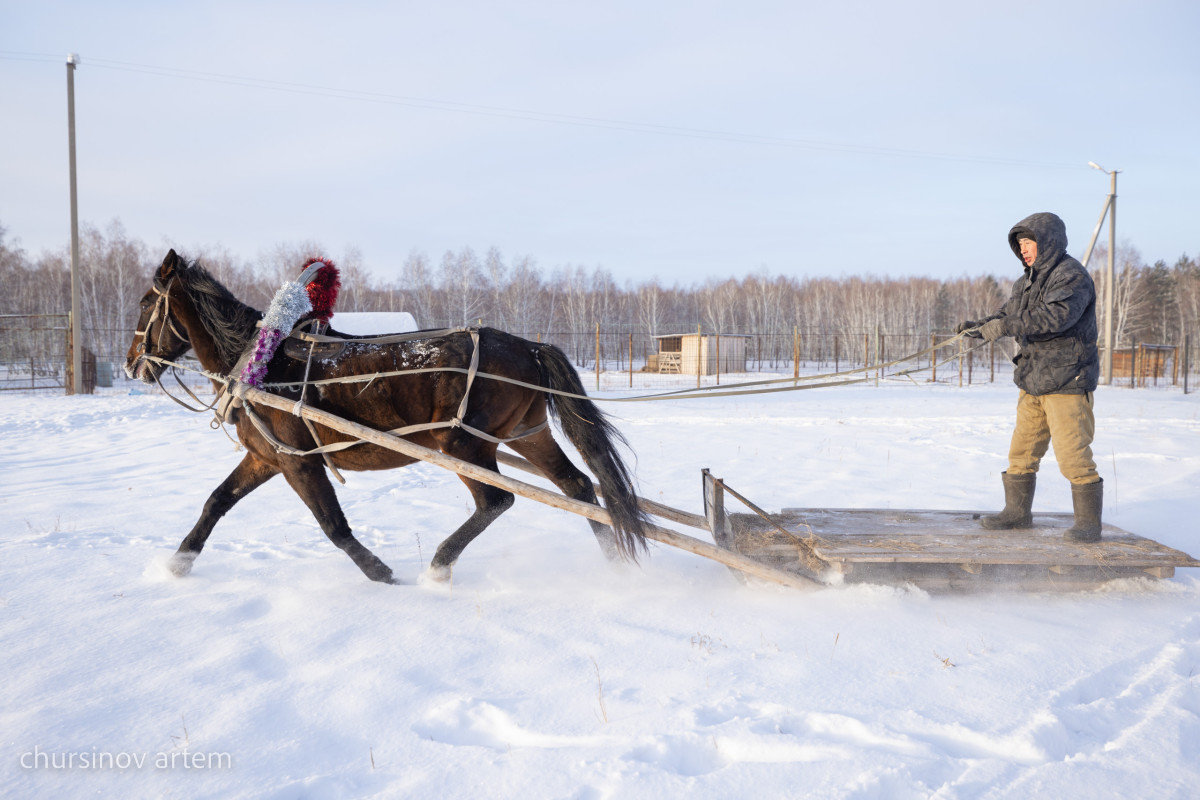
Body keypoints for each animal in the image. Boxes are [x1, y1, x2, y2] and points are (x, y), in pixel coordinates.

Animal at [123, 247, 648, 585]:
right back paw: (614, 564)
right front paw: (177, 564)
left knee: (497, 500)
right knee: (579, 488)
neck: (259, 362)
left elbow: (334, 526)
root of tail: (531, 347)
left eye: (147, 302)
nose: (131, 364)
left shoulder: (298, 462)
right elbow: (216, 502)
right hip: (525, 433)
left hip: (462, 444)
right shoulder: (267, 458)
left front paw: (380, 573)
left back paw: (440, 565)